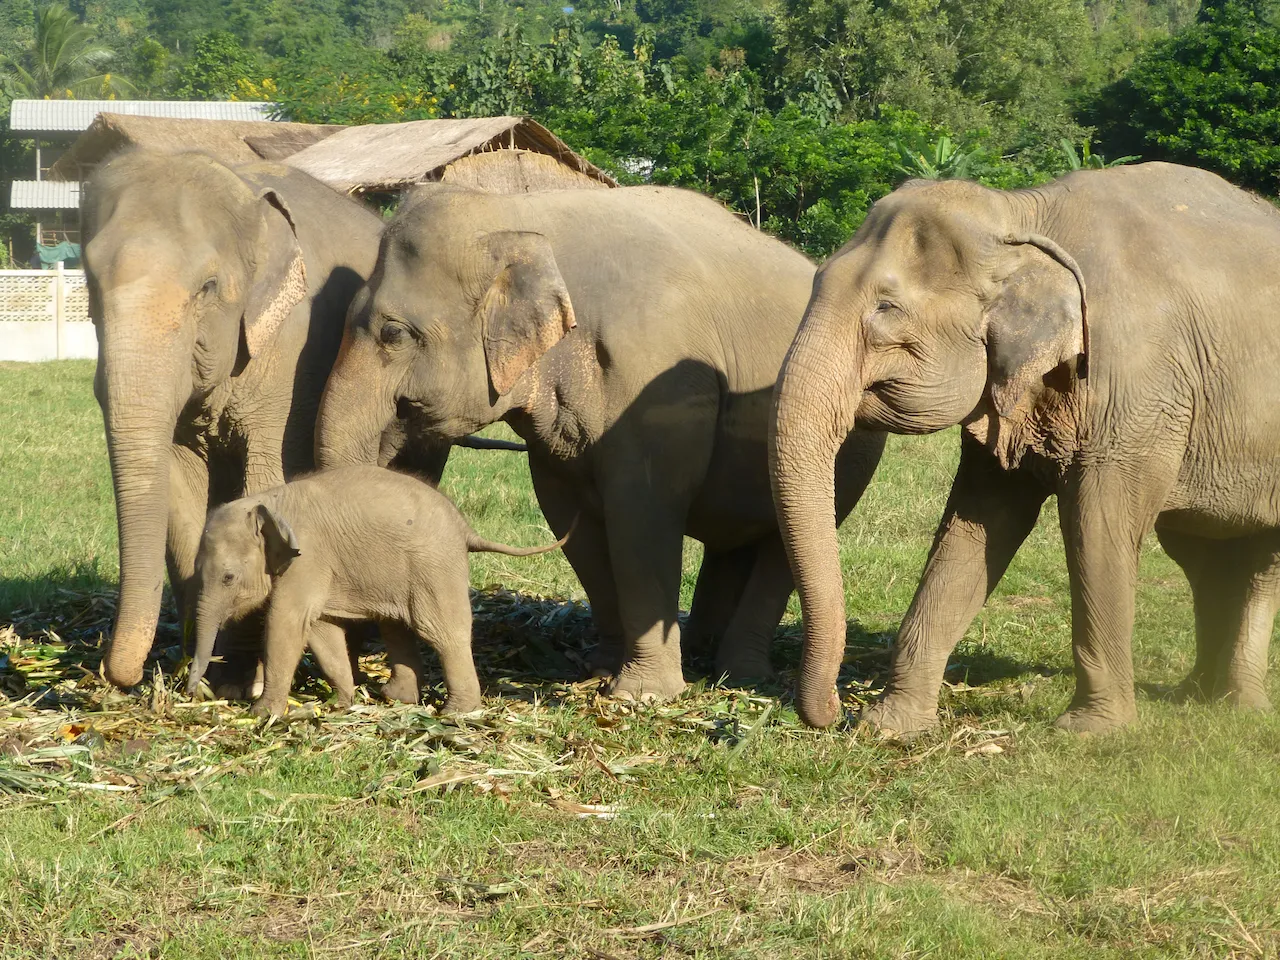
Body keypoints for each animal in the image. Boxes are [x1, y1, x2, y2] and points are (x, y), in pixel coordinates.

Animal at [186, 465, 565, 717]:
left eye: (228, 578)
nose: (192, 692)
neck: (267, 502)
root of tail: (465, 529)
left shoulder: (308, 559)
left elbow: (287, 622)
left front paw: (262, 714)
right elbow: (321, 629)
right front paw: (341, 703)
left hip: (434, 566)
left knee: (441, 631)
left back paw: (455, 713)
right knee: (395, 625)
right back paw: (397, 698)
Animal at [314, 184, 886, 700]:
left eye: (393, 333)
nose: (388, 691)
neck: (521, 211)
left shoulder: (659, 384)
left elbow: (641, 518)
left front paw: (641, 695)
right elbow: (574, 523)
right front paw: (598, 672)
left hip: (845, 451)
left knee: (780, 549)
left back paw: (740, 675)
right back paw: (702, 653)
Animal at [769, 161, 1280, 734]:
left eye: (886, 308)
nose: (832, 713)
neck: (1022, 212)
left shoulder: (1136, 387)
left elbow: (1098, 526)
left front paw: (1091, 732)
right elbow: (978, 524)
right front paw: (890, 728)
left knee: (1255, 563)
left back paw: (1240, 705)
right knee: (1205, 554)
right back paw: (1199, 694)